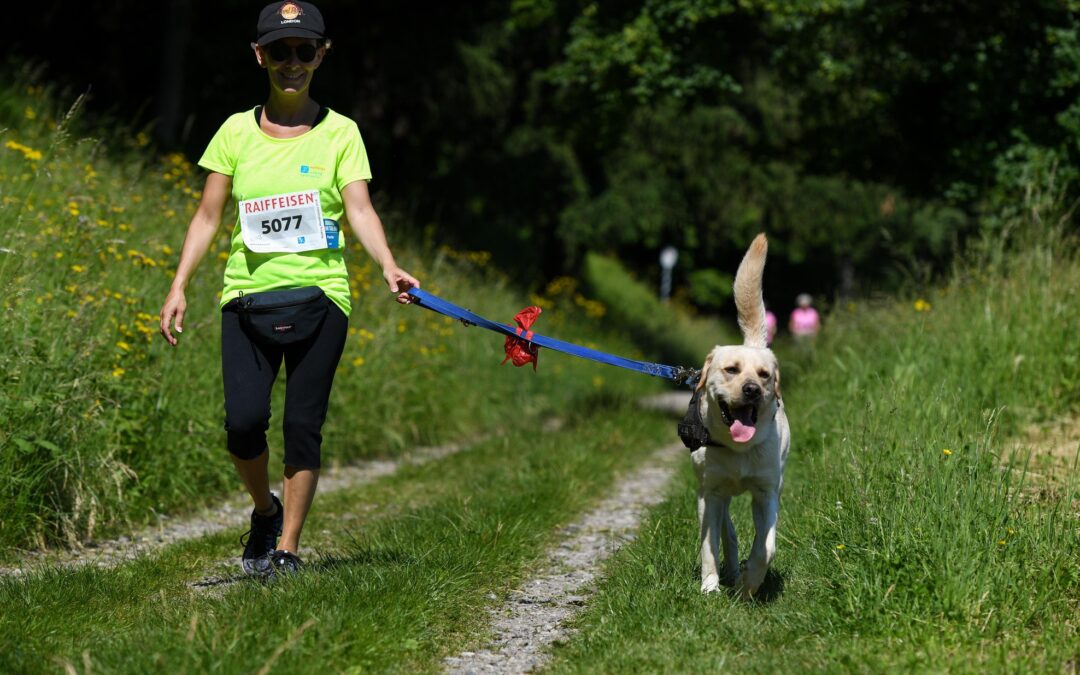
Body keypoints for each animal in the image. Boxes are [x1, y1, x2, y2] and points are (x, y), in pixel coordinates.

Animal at [686, 234, 790, 596]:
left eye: (764, 375)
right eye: (731, 370)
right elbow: (708, 546)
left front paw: (749, 585)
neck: (739, 449)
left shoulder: (767, 493)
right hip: (714, 491)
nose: (752, 390)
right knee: (725, 531)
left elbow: (766, 547)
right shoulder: (709, 494)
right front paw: (710, 587)